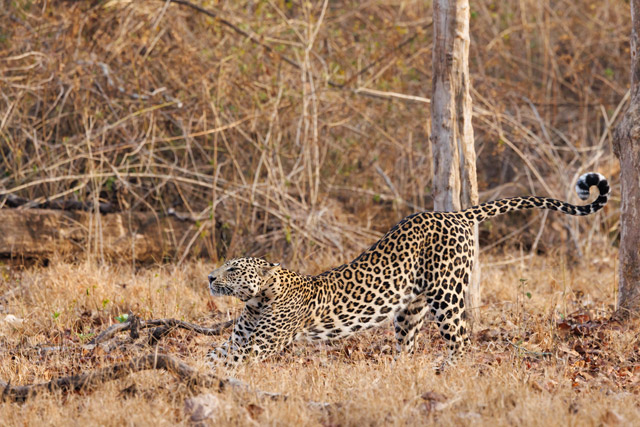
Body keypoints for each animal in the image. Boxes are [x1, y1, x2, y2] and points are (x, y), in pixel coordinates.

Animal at [207, 172, 609, 366]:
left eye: (234, 269)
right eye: (223, 266)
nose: (210, 277)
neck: (259, 299)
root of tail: (454, 213)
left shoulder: (262, 344)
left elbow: (233, 362)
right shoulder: (239, 338)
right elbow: (215, 355)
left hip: (447, 295)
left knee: (462, 339)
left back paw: (447, 372)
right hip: (410, 309)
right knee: (410, 346)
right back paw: (397, 372)